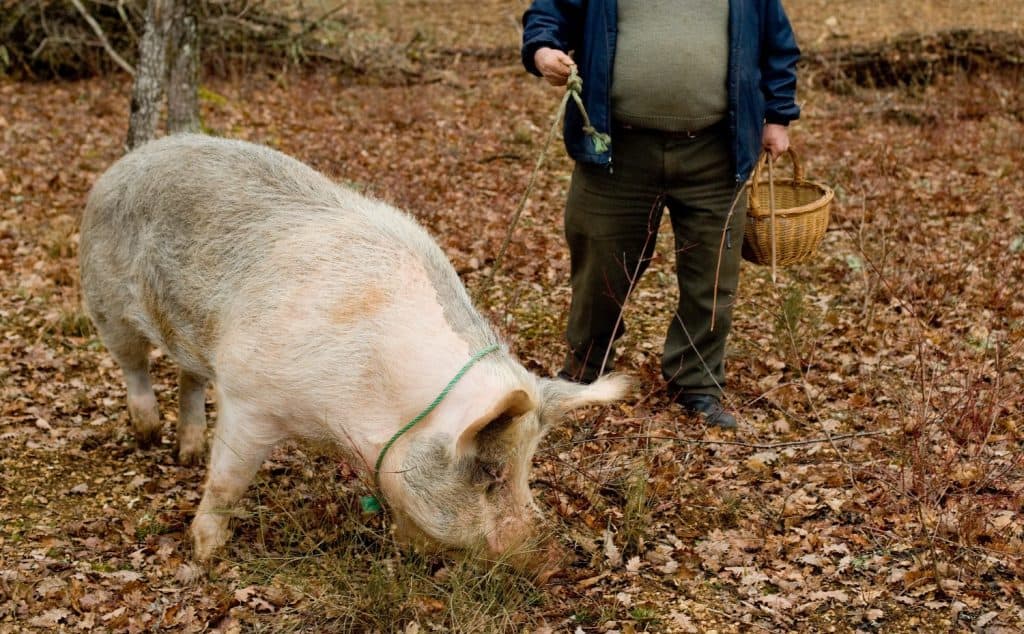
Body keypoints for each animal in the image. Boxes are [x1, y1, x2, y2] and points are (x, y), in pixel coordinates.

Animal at [79, 134, 629, 564]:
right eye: (491, 471)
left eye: (528, 468)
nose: (553, 561)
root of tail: (130, 159)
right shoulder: (251, 397)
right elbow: (228, 481)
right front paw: (206, 554)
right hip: (105, 302)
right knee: (135, 367)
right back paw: (148, 435)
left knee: (188, 377)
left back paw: (188, 452)